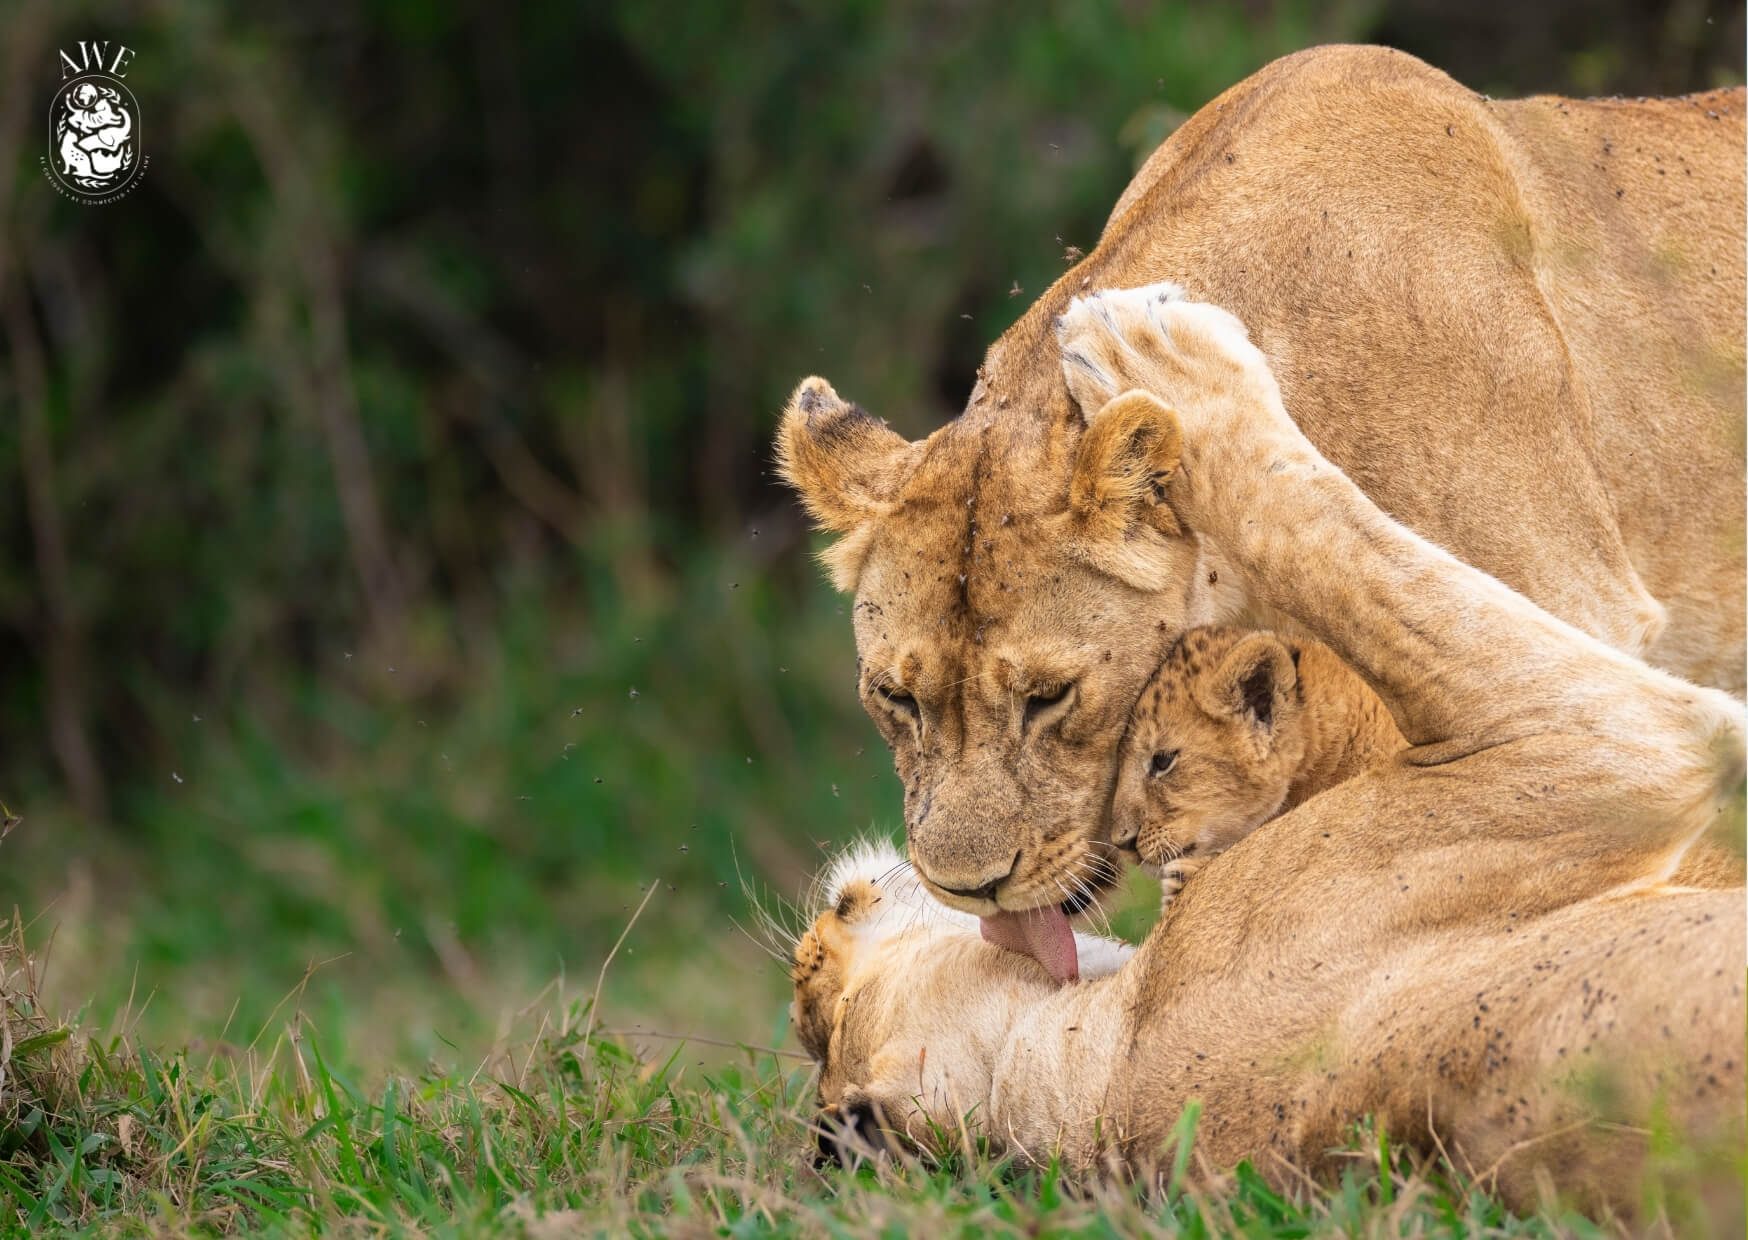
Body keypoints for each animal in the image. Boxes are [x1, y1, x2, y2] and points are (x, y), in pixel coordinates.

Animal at [791, 286, 1746, 1220]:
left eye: (1049, 696)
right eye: (896, 699)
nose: (968, 885)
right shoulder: (1607, 743)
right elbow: (1327, 542)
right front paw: (1164, 361)